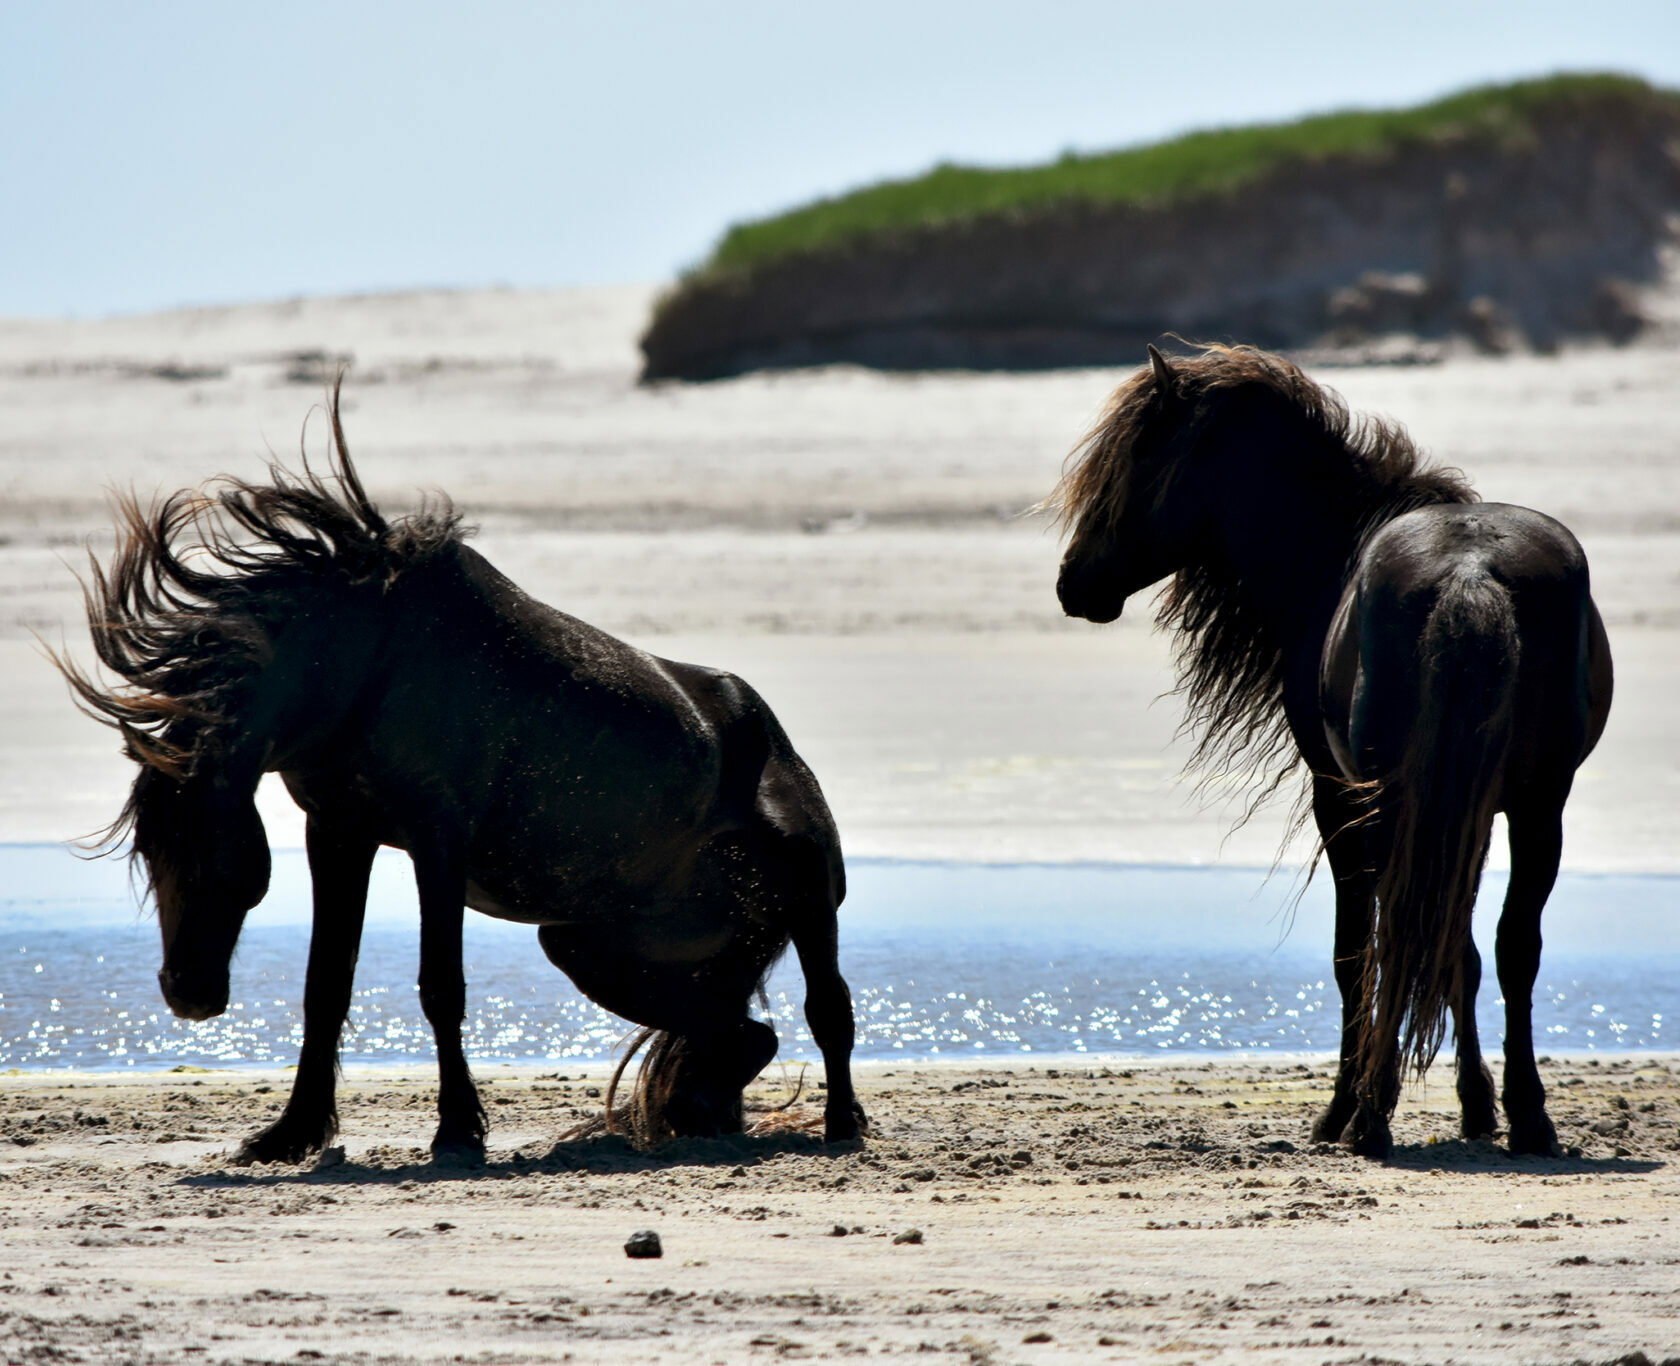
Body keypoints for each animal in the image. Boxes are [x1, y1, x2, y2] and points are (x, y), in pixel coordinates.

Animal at [59, 388, 867, 1162]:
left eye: (212, 854)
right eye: (150, 852)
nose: (188, 994)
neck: (367, 660)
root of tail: (772, 736)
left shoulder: (436, 839)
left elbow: (441, 986)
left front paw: (456, 1132)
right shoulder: (339, 831)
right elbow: (326, 985)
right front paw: (291, 1133)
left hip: (806, 893)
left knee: (827, 1008)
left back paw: (843, 1124)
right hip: (591, 949)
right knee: (742, 1035)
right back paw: (704, 1118)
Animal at [1053, 343, 1612, 1160]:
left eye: (1135, 460)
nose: (1073, 582)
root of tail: (1472, 573)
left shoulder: (1339, 795)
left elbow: (1358, 954)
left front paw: (1341, 1111)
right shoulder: (1468, 810)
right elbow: (1461, 949)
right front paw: (1478, 1107)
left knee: (1403, 936)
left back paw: (1370, 1114)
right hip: (1539, 804)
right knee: (1510, 946)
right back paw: (1529, 1118)